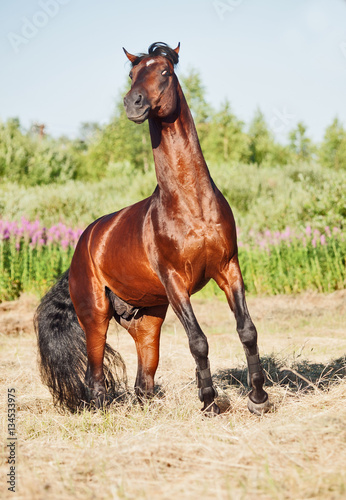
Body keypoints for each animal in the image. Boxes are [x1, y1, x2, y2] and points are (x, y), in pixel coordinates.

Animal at [35, 42, 270, 414]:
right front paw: (209, 402)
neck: (191, 204)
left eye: (164, 71)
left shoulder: (228, 269)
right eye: (132, 74)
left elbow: (247, 330)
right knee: (95, 377)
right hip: (95, 316)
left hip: (147, 320)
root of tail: (84, 244)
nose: (134, 103)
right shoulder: (175, 282)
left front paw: (258, 398)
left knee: (142, 381)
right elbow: (198, 341)